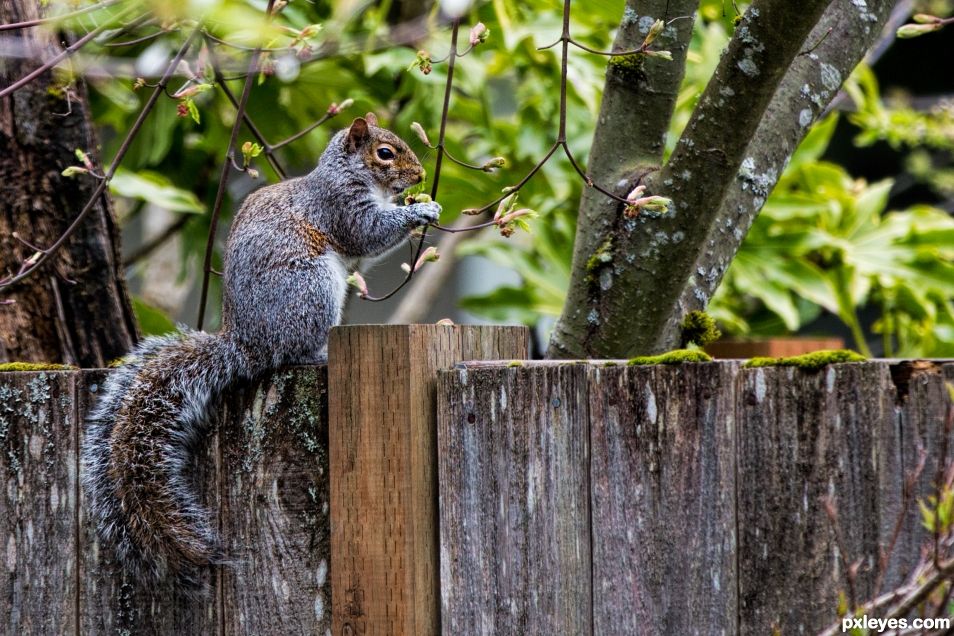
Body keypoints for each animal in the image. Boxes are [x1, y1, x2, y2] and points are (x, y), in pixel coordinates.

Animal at [82, 114, 438, 592]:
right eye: (385, 153)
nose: (418, 176)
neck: (346, 172)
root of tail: (246, 344)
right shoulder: (340, 207)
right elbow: (368, 235)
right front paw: (420, 212)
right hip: (311, 290)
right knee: (289, 353)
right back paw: (317, 353)